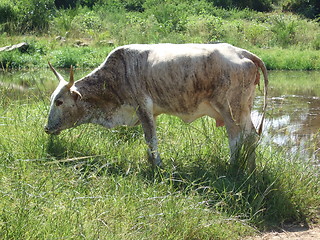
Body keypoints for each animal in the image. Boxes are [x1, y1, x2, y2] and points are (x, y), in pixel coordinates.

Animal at [45, 43, 268, 171]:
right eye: (51, 99)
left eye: (59, 101)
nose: (46, 128)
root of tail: (242, 52)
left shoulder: (142, 107)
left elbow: (150, 139)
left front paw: (157, 165)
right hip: (244, 110)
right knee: (251, 138)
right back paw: (251, 169)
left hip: (232, 110)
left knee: (236, 140)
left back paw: (233, 168)